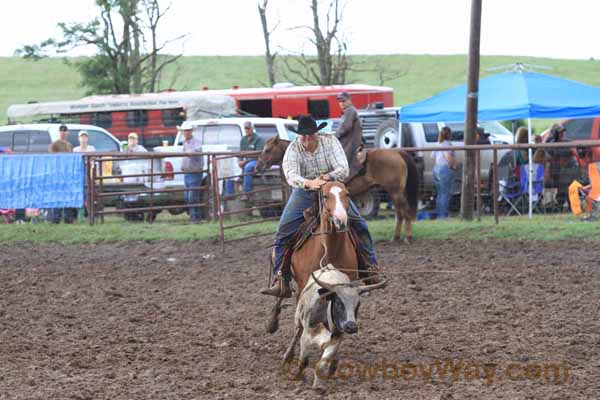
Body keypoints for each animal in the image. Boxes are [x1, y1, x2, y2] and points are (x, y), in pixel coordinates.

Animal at [255, 136, 420, 242]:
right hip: (394, 192)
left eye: (267, 150)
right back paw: (396, 237)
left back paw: (407, 237)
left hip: (396, 191)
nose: (257, 167)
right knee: (399, 212)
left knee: (404, 211)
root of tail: (398, 152)